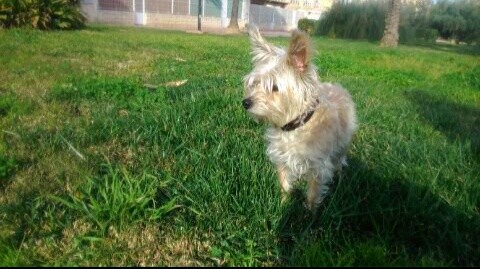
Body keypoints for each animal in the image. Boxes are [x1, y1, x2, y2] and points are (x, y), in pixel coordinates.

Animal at [242, 25, 358, 209]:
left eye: (274, 87)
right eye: (255, 83)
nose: (246, 102)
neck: (295, 127)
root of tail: (337, 86)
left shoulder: (318, 166)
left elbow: (312, 193)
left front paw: (309, 213)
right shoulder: (282, 159)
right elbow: (284, 184)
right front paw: (283, 204)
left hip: (342, 144)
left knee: (340, 161)